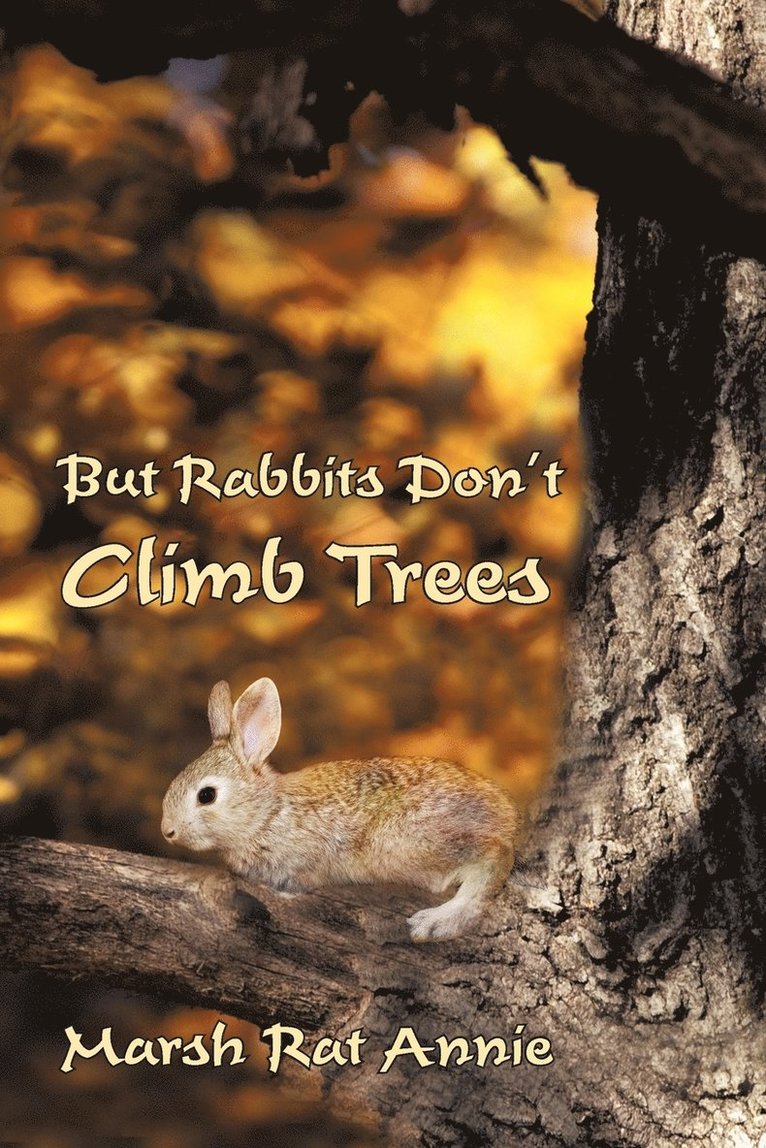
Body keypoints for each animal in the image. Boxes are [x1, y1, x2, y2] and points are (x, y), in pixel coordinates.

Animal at [161, 677, 519, 942]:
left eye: (206, 795)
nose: (168, 831)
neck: (266, 814)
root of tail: (506, 817)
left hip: (404, 841)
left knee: (494, 856)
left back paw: (435, 923)